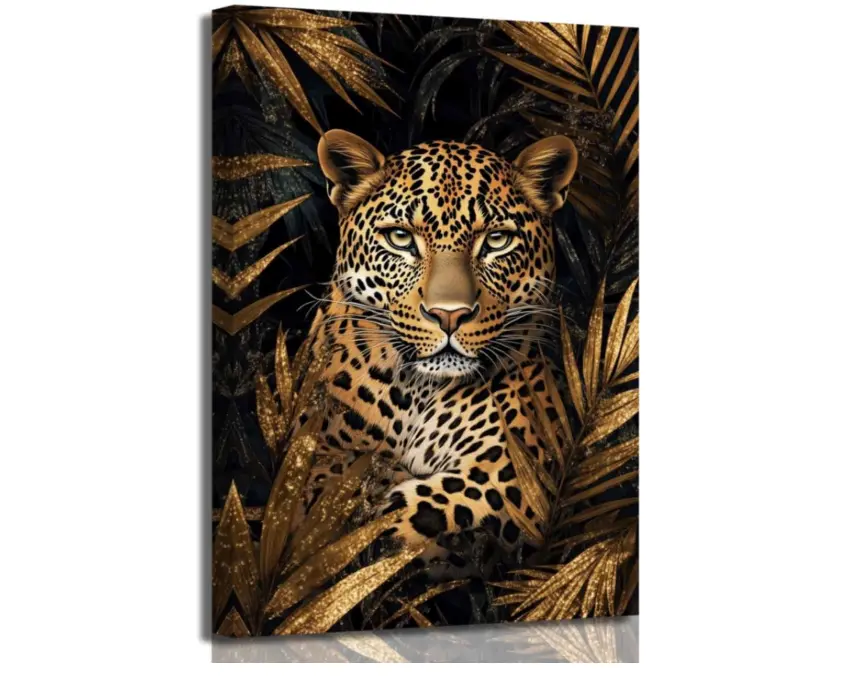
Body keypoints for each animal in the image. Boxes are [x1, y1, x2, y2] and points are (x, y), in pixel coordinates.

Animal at [302, 129, 578, 568]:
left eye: (496, 240)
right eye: (400, 238)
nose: (449, 315)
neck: (418, 393)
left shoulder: (519, 466)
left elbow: (412, 514)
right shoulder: (316, 448)